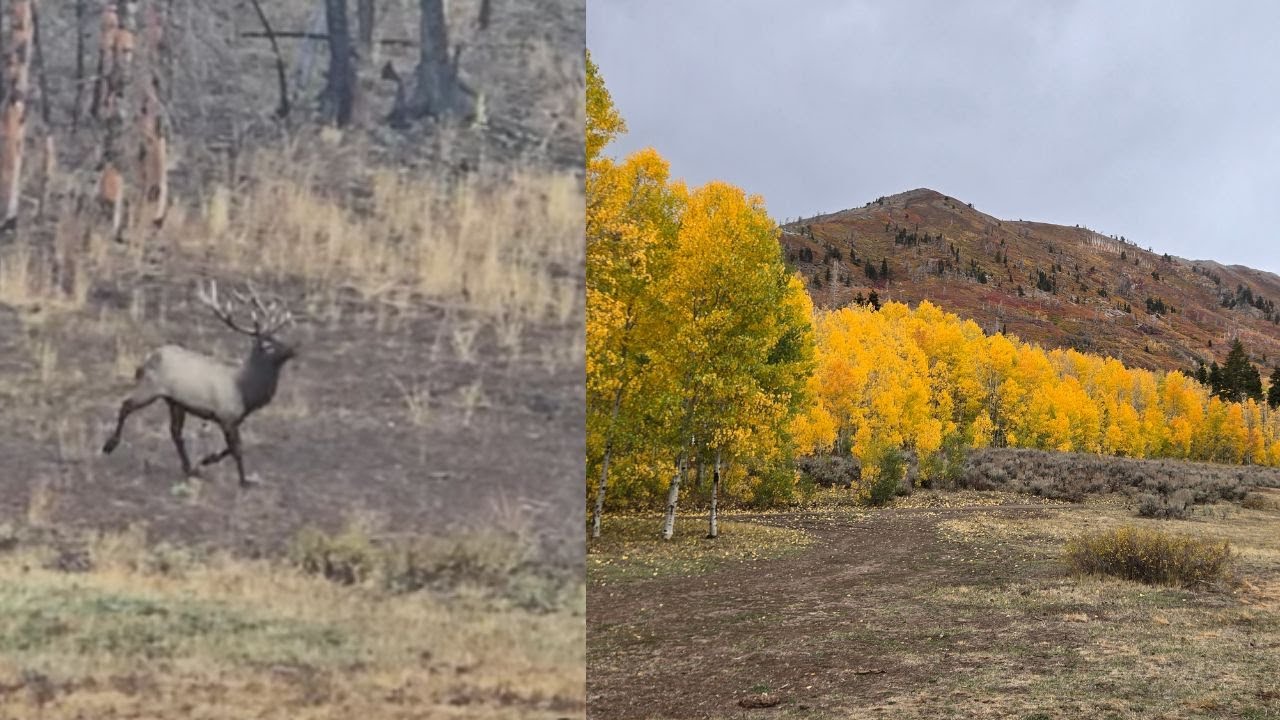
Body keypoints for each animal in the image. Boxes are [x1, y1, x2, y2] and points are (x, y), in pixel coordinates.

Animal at [102, 280, 298, 488]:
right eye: (268, 346)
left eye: (279, 338)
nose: (294, 348)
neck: (246, 392)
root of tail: (147, 359)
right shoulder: (226, 416)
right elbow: (237, 449)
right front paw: (244, 481)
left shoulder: (234, 419)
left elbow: (231, 448)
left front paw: (206, 460)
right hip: (151, 388)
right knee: (126, 405)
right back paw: (110, 444)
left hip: (175, 401)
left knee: (176, 432)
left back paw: (189, 469)